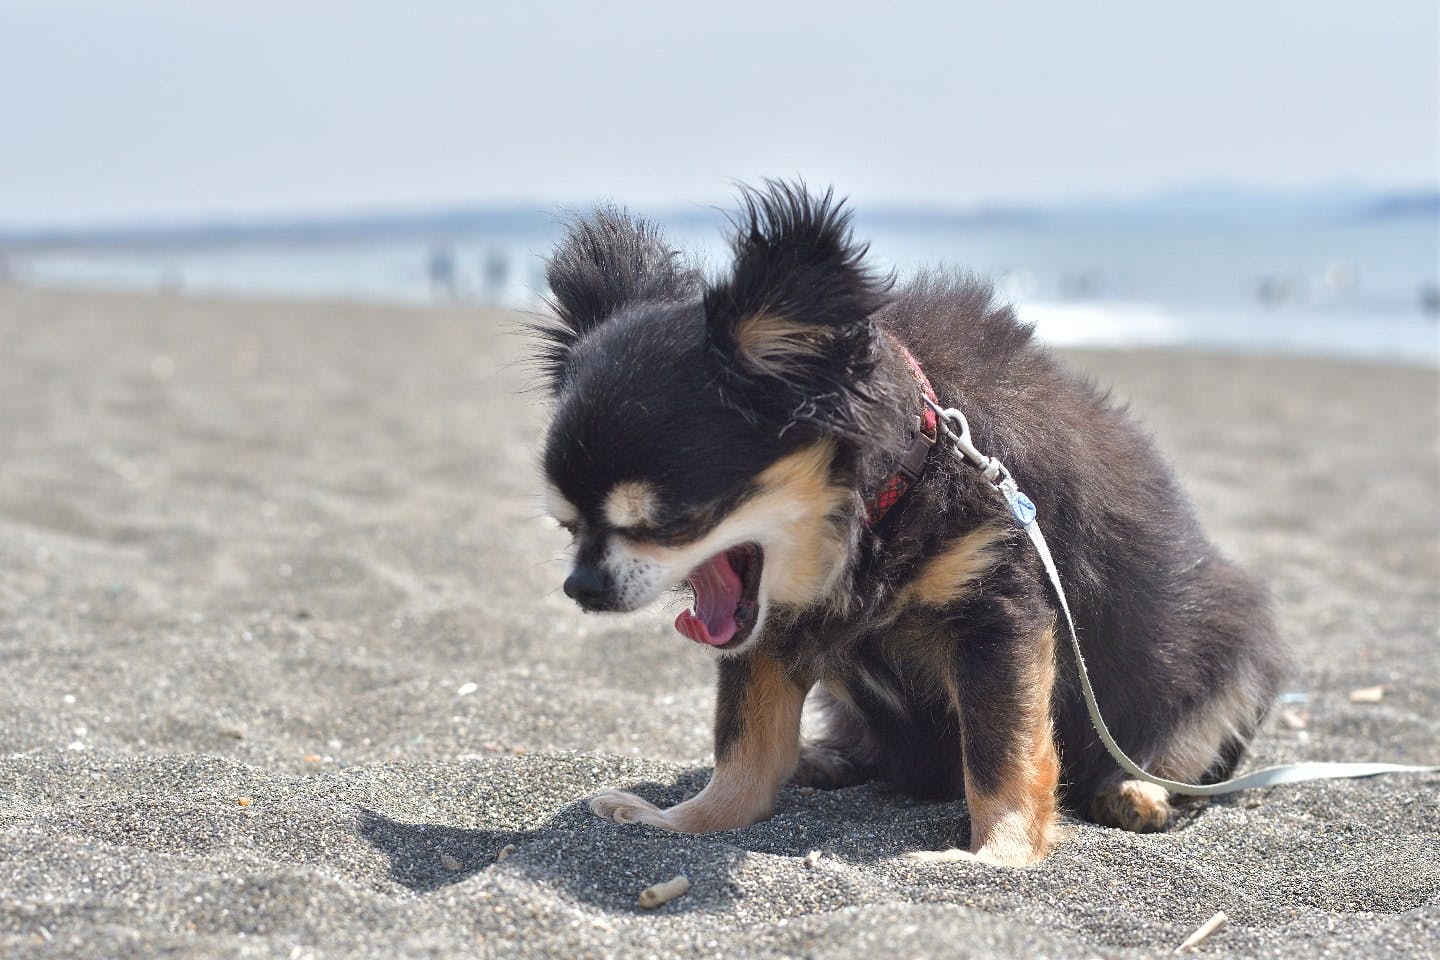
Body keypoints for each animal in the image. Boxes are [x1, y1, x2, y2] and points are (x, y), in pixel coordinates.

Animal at [527, 184, 1284, 869]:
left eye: (669, 520)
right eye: (567, 524)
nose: (579, 587)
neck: (896, 488)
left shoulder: (996, 613)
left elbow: (1000, 752)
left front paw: (997, 856)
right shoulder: (768, 628)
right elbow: (744, 747)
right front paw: (683, 822)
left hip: (1232, 655)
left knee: (1178, 749)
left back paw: (1136, 792)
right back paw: (827, 760)